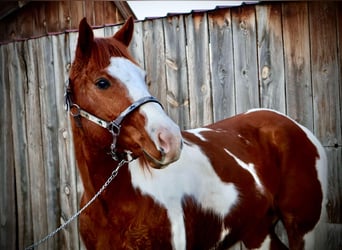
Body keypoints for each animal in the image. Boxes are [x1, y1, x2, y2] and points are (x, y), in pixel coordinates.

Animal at [66, 16, 326, 249]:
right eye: (101, 83)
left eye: (144, 78)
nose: (169, 140)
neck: (113, 205)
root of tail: (296, 127)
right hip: (258, 232)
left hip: (303, 231)